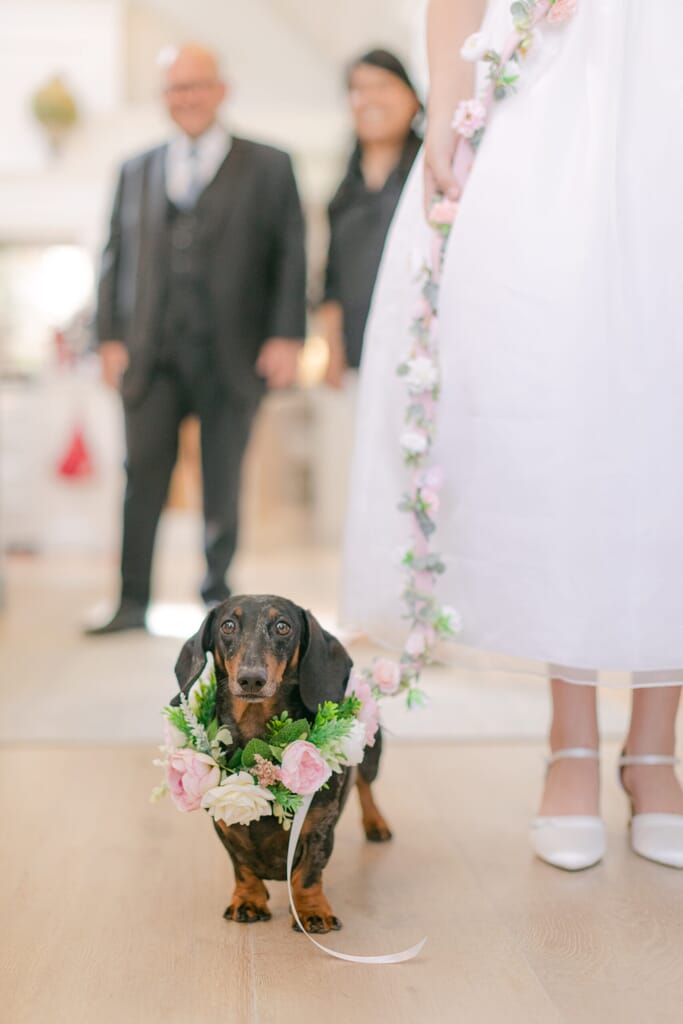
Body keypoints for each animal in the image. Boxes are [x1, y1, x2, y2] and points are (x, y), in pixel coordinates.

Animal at [174, 593, 393, 937]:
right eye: (227, 625)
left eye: (282, 626)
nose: (251, 678)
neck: (257, 738)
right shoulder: (224, 826)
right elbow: (242, 867)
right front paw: (247, 901)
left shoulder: (318, 827)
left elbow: (307, 874)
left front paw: (311, 911)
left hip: (372, 753)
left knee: (366, 787)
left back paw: (376, 824)